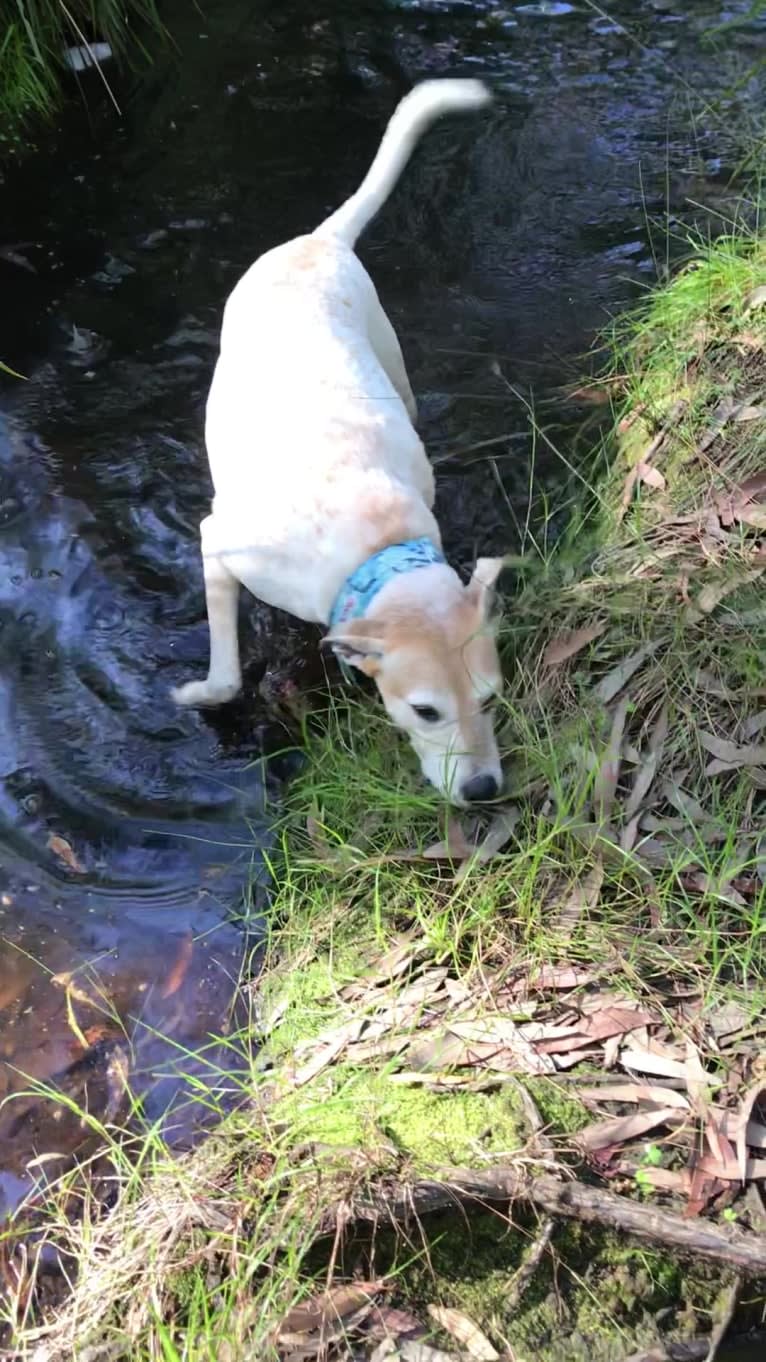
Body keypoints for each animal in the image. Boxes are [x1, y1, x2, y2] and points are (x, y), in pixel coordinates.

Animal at [175, 79, 504, 800]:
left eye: (491, 698)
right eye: (426, 711)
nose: (485, 790)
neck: (373, 543)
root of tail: (316, 241)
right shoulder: (220, 546)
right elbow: (228, 673)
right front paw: (203, 695)